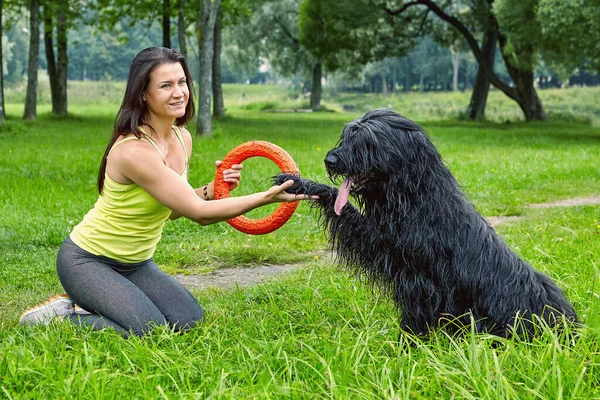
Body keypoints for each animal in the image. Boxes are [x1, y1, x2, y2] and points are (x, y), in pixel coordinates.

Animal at [274, 107, 580, 338]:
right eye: (347, 135)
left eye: (367, 141)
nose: (330, 159)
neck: (413, 197)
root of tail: (571, 326)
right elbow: (336, 198)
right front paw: (299, 183)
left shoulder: (412, 273)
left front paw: (408, 344)